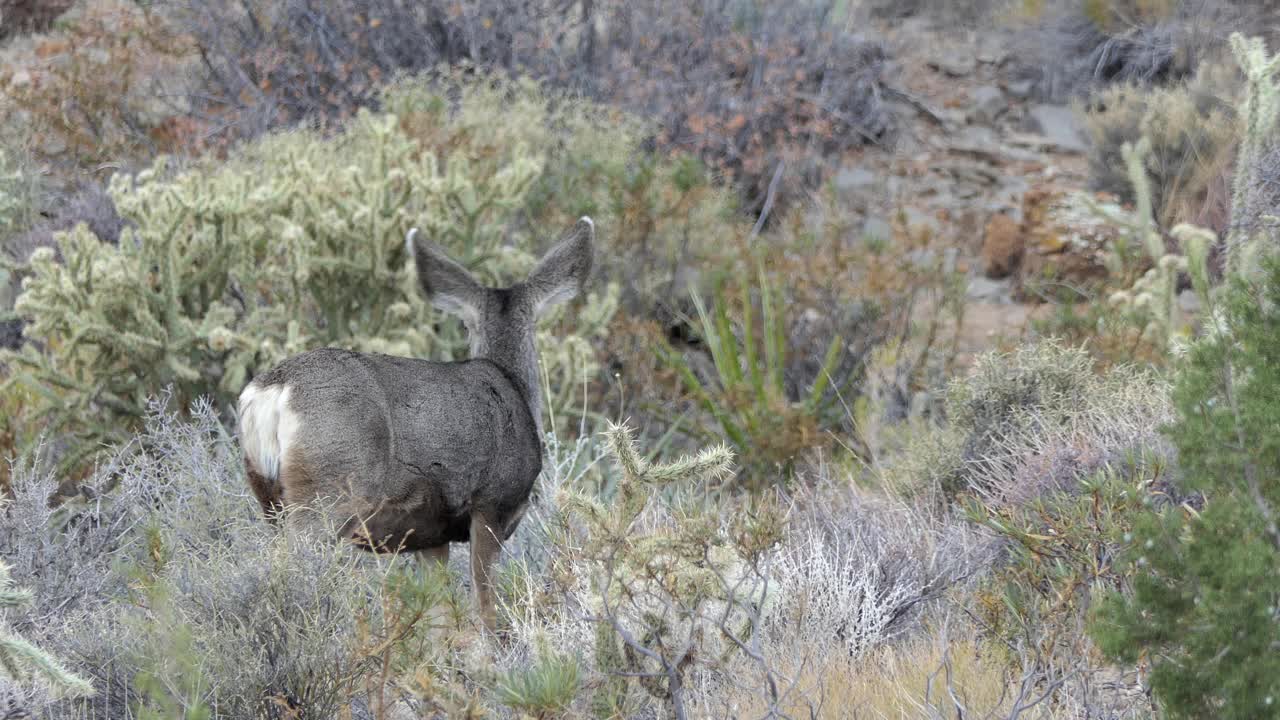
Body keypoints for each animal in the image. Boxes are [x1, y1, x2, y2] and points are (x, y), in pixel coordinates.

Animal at [236, 215, 593, 630]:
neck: (511, 385)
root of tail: (274, 390)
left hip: (269, 495)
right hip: (330, 489)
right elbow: (485, 608)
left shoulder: (430, 535)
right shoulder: (492, 504)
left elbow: (438, 616)